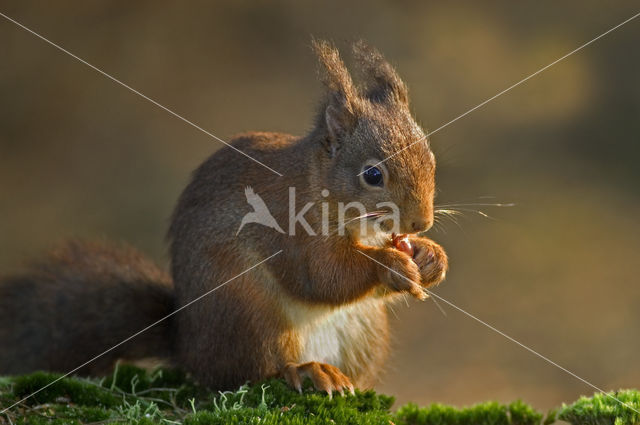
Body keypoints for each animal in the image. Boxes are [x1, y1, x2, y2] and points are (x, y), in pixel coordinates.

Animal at [0, 39, 448, 394]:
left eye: (431, 158)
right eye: (372, 175)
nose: (420, 223)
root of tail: (189, 346)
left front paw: (431, 258)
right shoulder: (288, 229)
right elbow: (321, 276)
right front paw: (391, 264)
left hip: (364, 332)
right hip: (247, 312)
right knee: (251, 371)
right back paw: (307, 370)